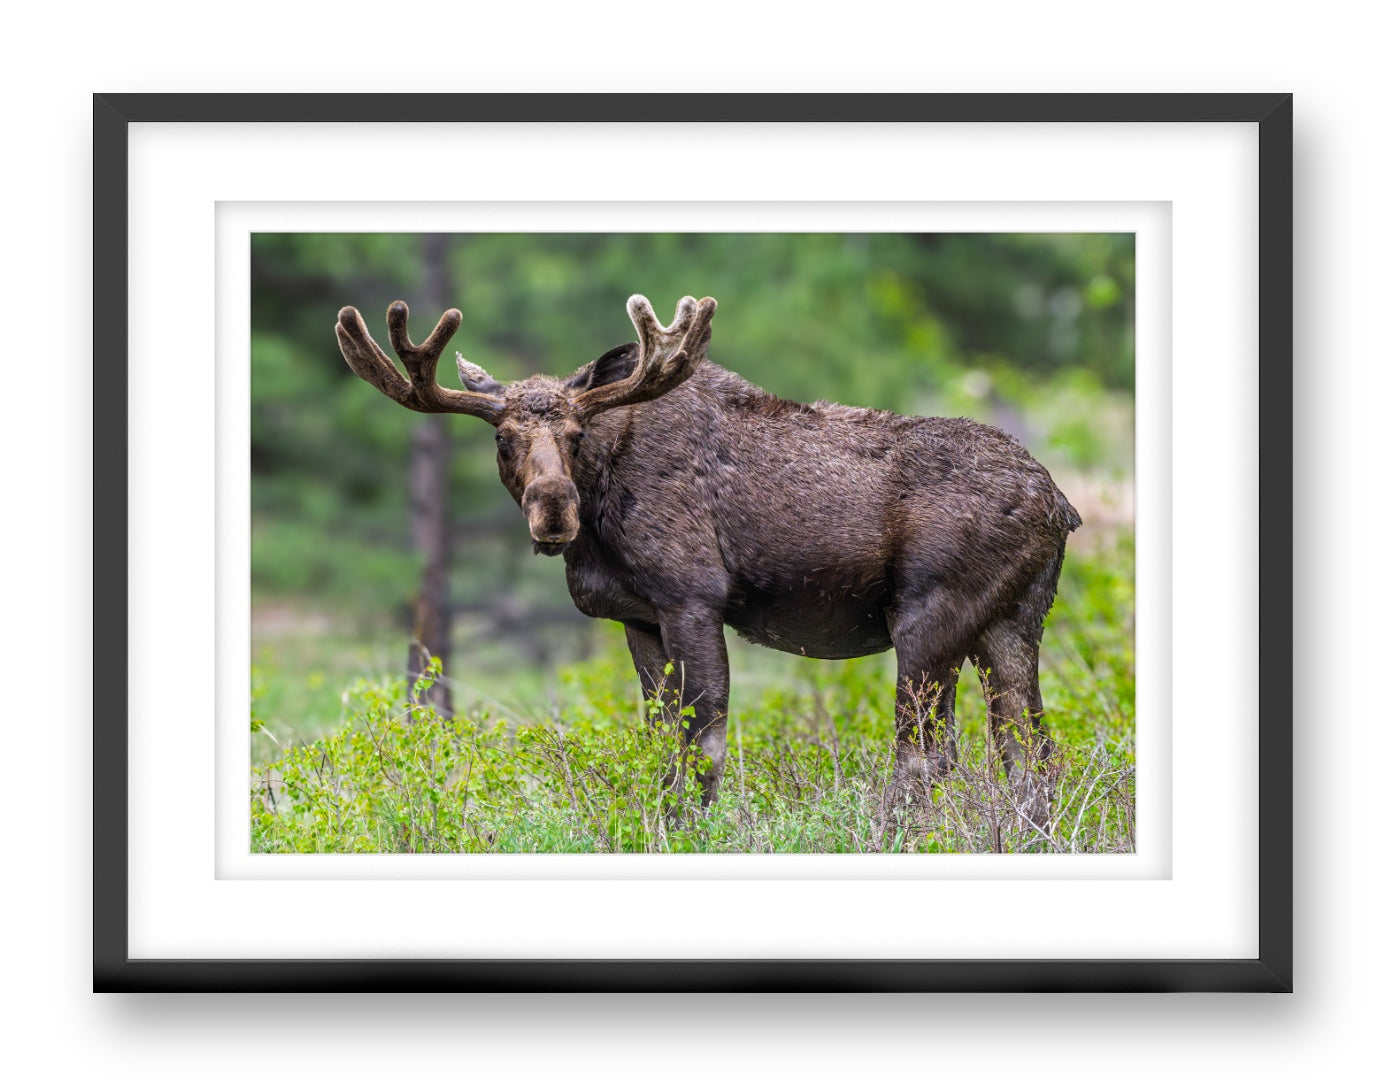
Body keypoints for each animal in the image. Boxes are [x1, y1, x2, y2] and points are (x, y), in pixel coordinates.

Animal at [334, 294, 1081, 823]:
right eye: (503, 439)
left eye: (575, 434)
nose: (553, 511)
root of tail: (1060, 504)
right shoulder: (636, 618)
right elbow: (660, 741)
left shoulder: (692, 598)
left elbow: (703, 744)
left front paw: (693, 829)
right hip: (1012, 622)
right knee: (1029, 755)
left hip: (929, 617)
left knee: (927, 755)